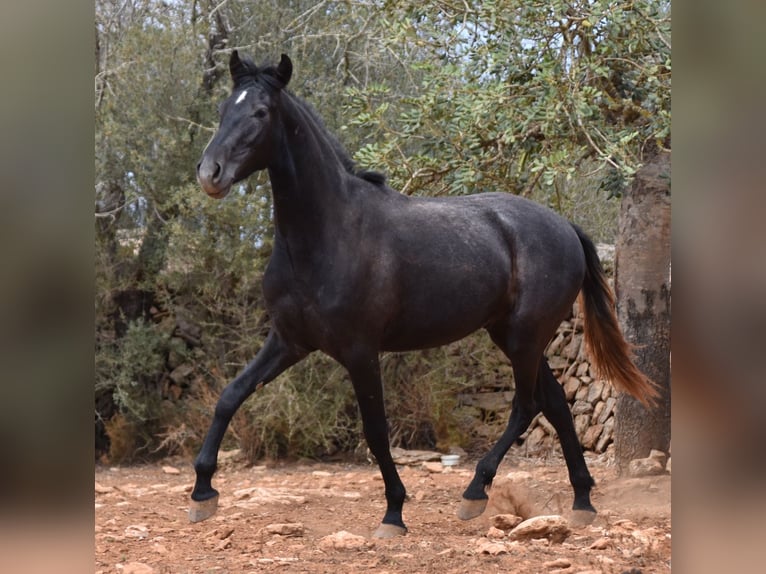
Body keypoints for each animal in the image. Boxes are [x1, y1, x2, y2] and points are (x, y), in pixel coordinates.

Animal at [192, 53, 660, 540]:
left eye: (261, 113)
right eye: (224, 108)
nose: (210, 174)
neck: (327, 235)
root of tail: (565, 226)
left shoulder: (360, 351)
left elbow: (376, 431)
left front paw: (393, 513)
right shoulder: (289, 341)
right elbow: (230, 396)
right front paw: (203, 493)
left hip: (525, 338)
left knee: (527, 405)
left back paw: (475, 493)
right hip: (514, 336)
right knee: (555, 405)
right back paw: (581, 502)